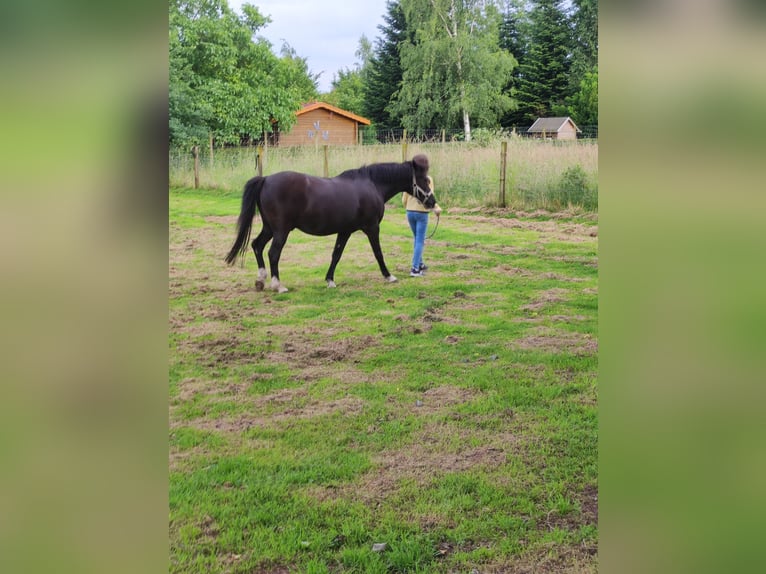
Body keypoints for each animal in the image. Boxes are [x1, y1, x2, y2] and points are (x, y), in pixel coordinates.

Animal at [225, 153, 436, 292]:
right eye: (425, 179)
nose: (432, 202)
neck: (372, 185)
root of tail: (266, 179)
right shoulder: (372, 228)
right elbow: (378, 253)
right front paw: (389, 276)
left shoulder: (345, 231)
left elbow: (336, 254)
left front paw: (329, 280)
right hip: (281, 231)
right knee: (273, 253)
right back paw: (278, 285)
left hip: (269, 228)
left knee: (257, 245)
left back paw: (261, 280)